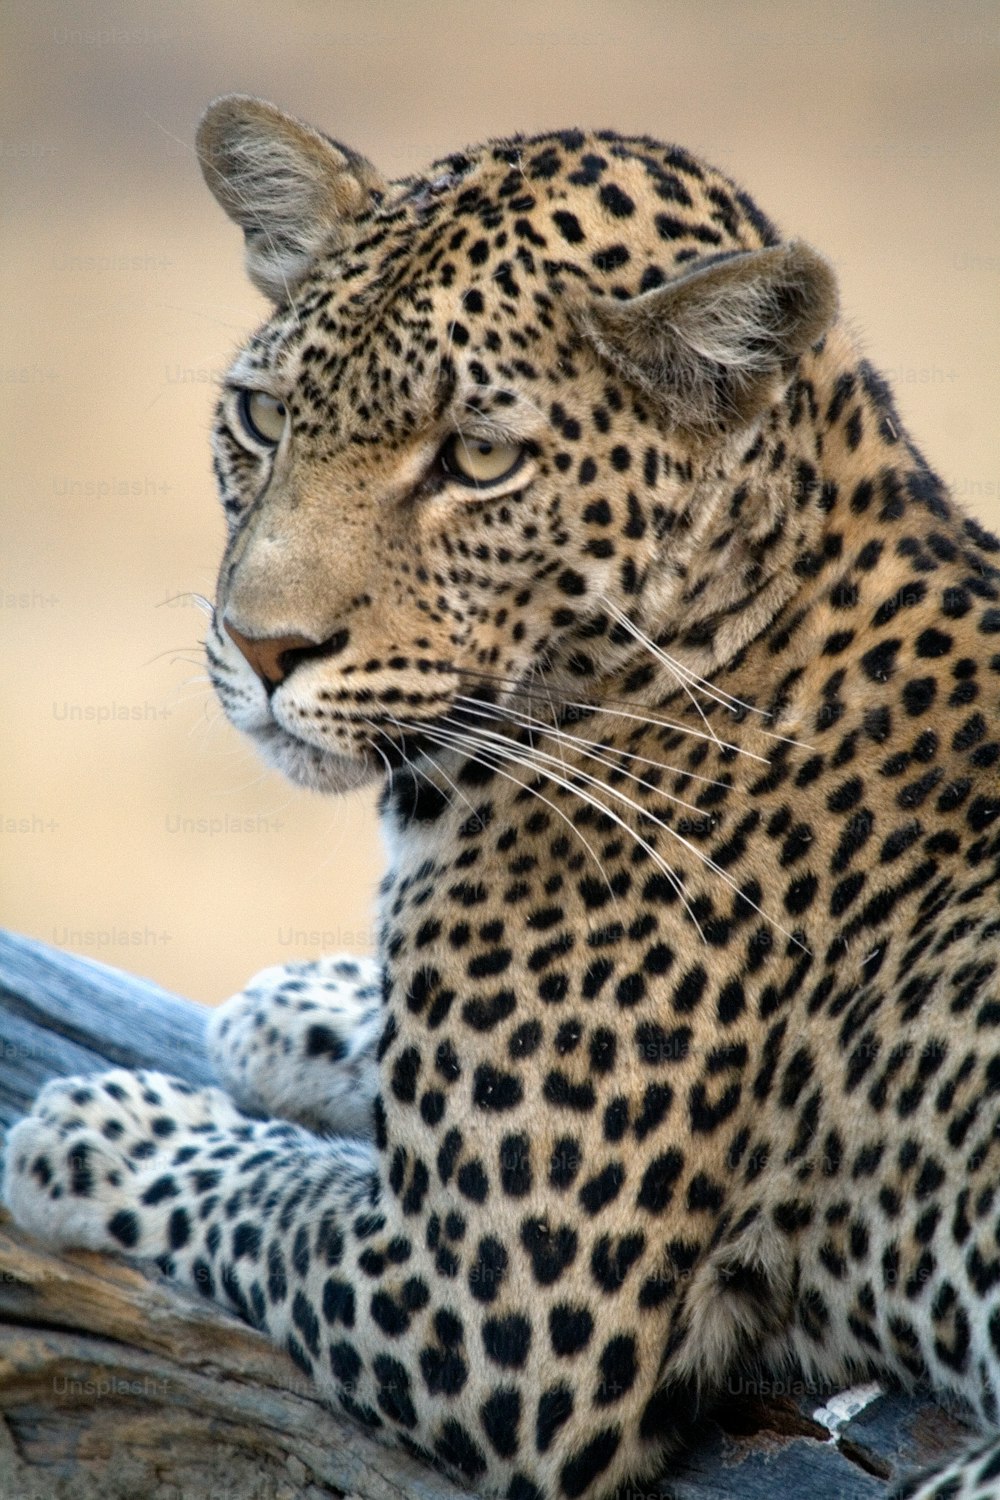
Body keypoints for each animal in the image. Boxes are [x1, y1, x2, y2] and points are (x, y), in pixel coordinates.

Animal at [5, 96, 1000, 1500]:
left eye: (476, 459)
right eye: (260, 415)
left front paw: (105, 1125)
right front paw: (299, 1006)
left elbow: (262, 1189)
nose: (259, 646)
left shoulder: (489, 1308)